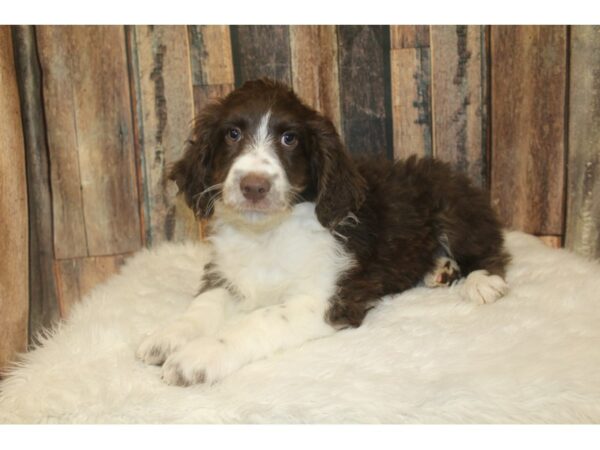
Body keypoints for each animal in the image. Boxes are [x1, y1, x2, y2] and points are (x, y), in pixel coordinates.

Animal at [137, 78, 510, 386]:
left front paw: (196, 357)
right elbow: (203, 305)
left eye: (289, 139)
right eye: (232, 134)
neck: (266, 235)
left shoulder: (326, 298)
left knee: (488, 247)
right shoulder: (226, 274)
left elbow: (260, 319)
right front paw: (167, 336)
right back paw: (439, 269)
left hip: (453, 207)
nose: (254, 186)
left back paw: (481, 281)